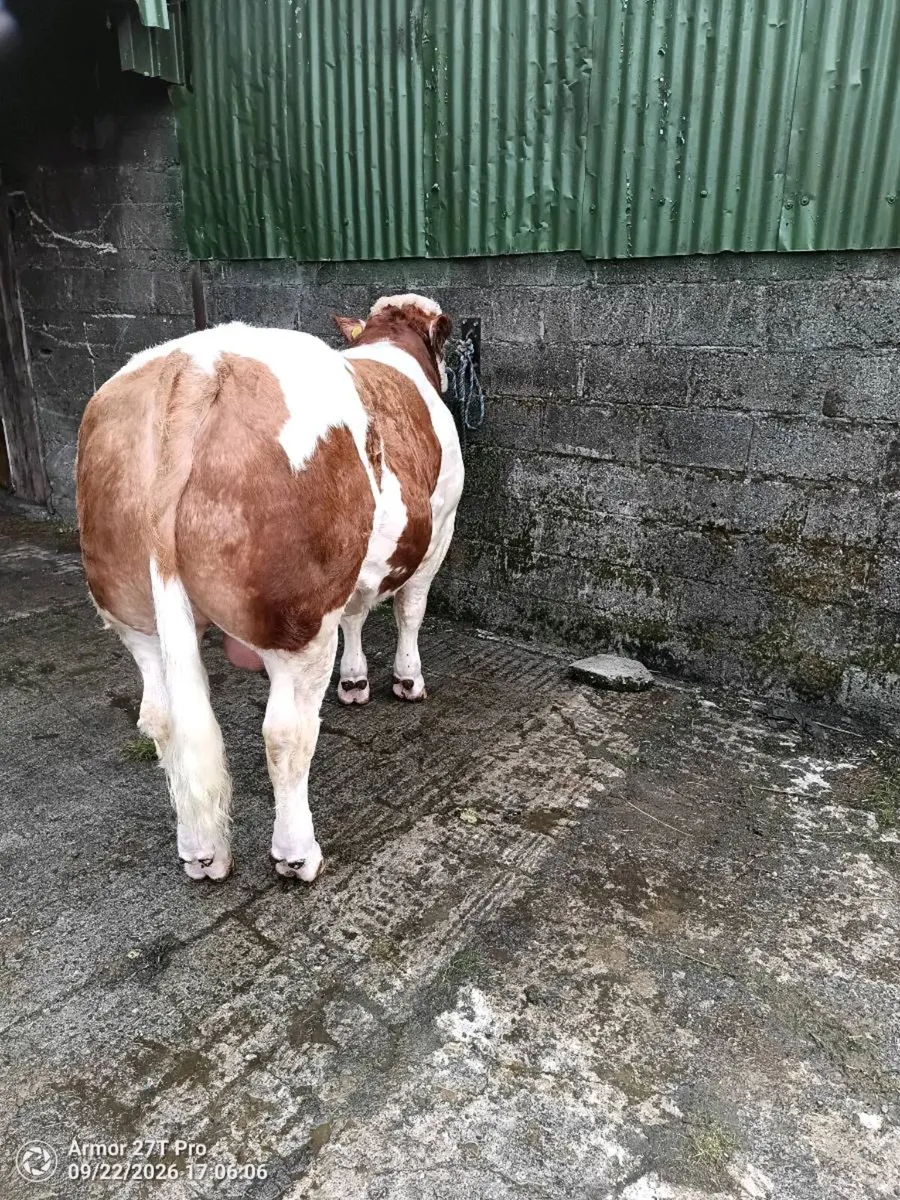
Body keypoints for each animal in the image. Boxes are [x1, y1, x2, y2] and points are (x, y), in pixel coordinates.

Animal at [76, 293, 463, 883]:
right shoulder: (438, 529)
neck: (393, 346)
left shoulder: (357, 566)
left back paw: (201, 850)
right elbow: (410, 612)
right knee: (286, 734)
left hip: (133, 615)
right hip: (298, 620)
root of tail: (196, 364)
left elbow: (357, 613)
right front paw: (406, 680)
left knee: (162, 719)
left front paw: (354, 681)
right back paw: (296, 853)